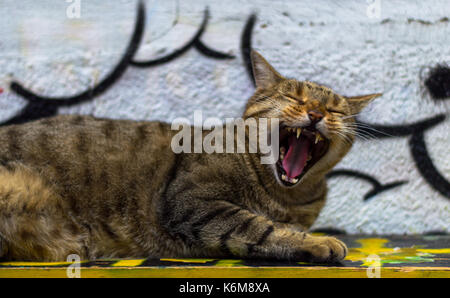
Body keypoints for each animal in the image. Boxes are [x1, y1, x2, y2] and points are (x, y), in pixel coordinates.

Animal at [0, 52, 382, 262]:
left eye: (335, 109)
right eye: (294, 97)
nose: (316, 113)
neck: (284, 195)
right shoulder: (191, 201)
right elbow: (258, 226)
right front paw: (318, 242)